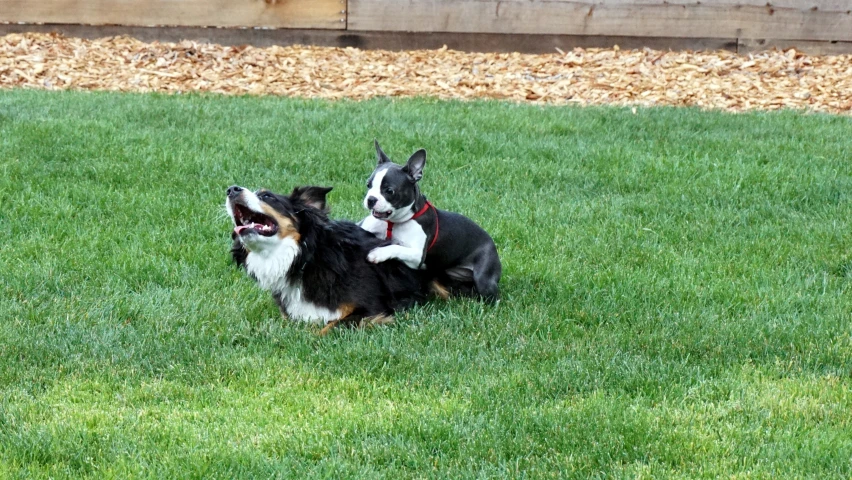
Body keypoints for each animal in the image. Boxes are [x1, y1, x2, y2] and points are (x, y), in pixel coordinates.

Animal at [358, 141, 500, 302]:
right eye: (368, 185)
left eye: (389, 191)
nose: (371, 199)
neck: (392, 222)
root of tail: (492, 244)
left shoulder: (417, 257)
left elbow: (397, 247)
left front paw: (378, 253)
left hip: (484, 278)